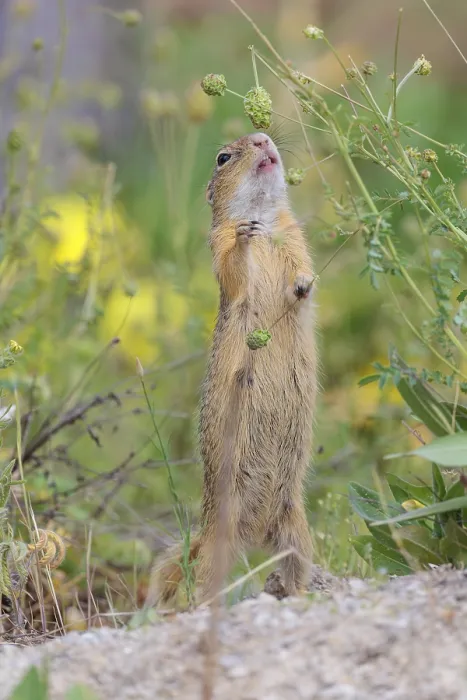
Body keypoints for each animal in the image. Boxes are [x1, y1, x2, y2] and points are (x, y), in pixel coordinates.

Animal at [152, 131, 317, 606]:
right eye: (223, 157)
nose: (262, 137)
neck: (262, 216)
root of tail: (256, 533)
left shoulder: (293, 234)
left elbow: (302, 265)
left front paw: (304, 283)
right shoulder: (219, 243)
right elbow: (233, 268)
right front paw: (246, 239)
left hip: (295, 527)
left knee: (295, 562)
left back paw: (300, 593)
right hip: (219, 546)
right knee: (203, 580)